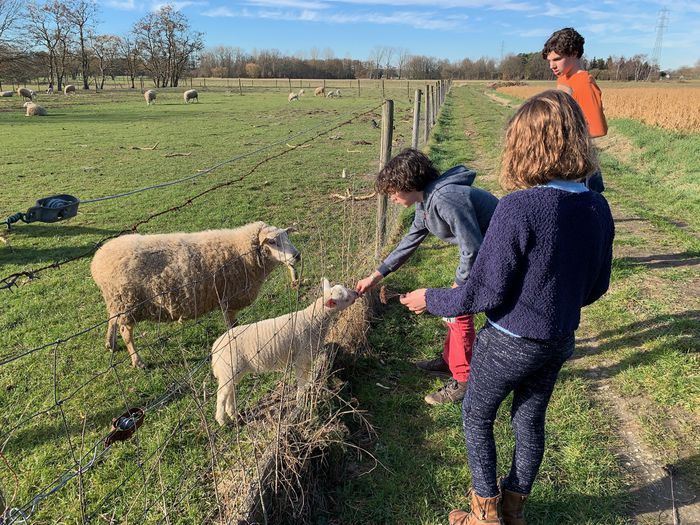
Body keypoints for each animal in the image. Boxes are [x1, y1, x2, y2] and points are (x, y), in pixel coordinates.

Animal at [90, 221, 300, 368]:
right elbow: (232, 325)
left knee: (112, 320)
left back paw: (110, 344)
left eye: (287, 238)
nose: (297, 256)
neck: (242, 252)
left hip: (117, 302)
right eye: (272, 242)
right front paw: (233, 340)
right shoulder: (228, 297)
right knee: (125, 332)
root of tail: (98, 259)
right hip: (127, 302)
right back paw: (137, 361)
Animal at [211, 276, 358, 424]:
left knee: (230, 391)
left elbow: (307, 377)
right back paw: (221, 420)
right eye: (345, 299)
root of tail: (215, 348)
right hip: (229, 369)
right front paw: (301, 401)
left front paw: (309, 389)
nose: (357, 293)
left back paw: (232, 414)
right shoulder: (301, 358)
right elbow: (301, 381)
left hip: (232, 371)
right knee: (222, 394)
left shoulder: (307, 357)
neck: (314, 319)